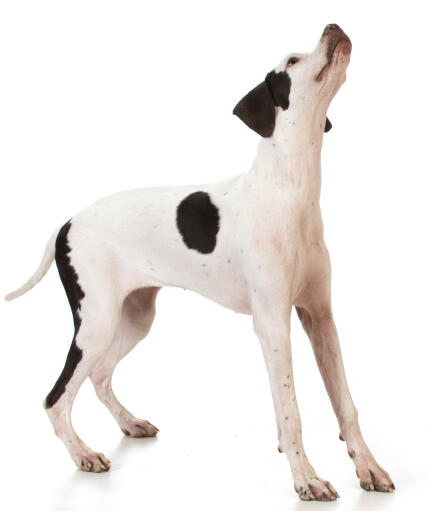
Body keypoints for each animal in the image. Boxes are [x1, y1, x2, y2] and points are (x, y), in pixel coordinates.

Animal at [3, 25, 394, 504]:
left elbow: (346, 406)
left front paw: (369, 467)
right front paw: (306, 479)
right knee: (56, 398)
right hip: (96, 323)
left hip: (134, 317)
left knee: (98, 373)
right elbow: (291, 413)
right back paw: (84, 454)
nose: (332, 27)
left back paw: (129, 423)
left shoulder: (320, 318)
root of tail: (65, 224)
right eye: (292, 61)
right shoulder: (273, 325)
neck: (290, 190)